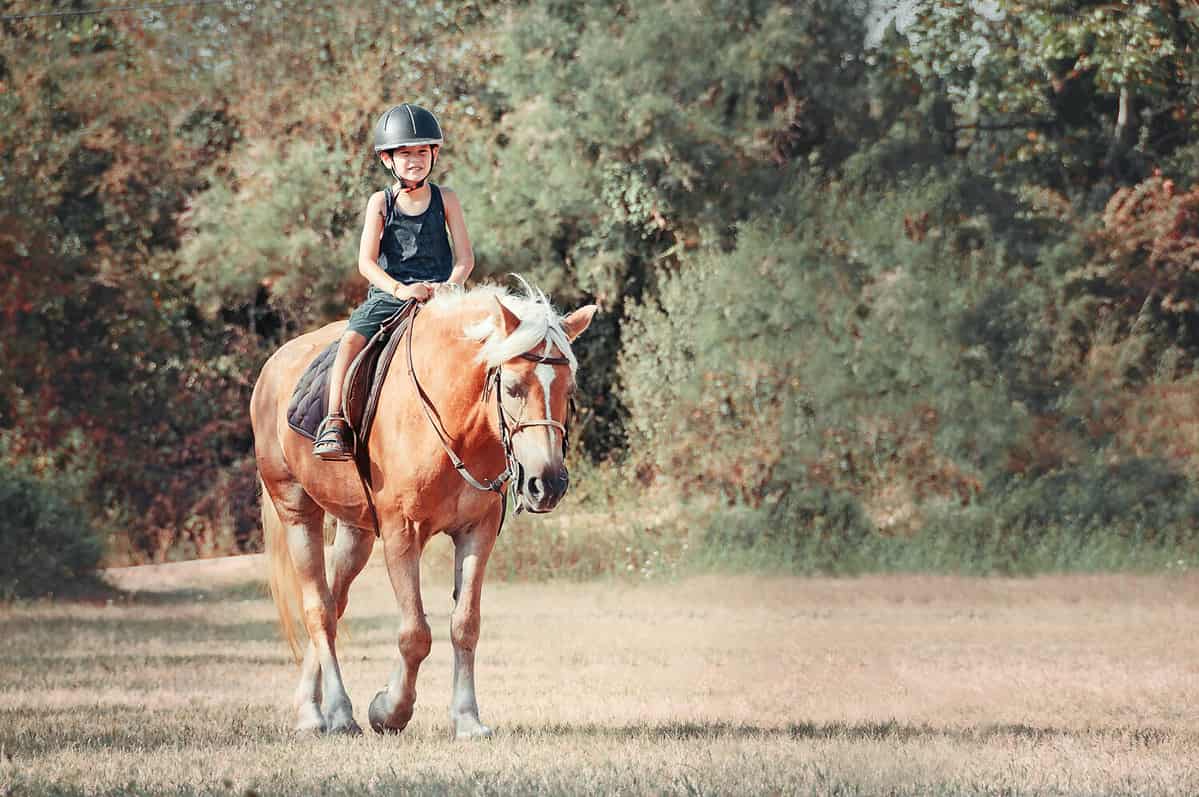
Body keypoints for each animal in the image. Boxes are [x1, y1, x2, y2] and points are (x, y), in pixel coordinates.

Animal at [250, 282, 597, 738]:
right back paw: (329, 713)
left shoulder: (477, 531)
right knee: (318, 610)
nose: (549, 483)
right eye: (513, 387)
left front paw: (467, 718)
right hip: (297, 511)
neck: (457, 423)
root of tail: (273, 367)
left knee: (334, 603)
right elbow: (415, 633)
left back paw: (316, 707)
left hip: (356, 531)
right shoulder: (402, 531)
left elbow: (465, 625)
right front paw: (389, 710)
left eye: (568, 390)